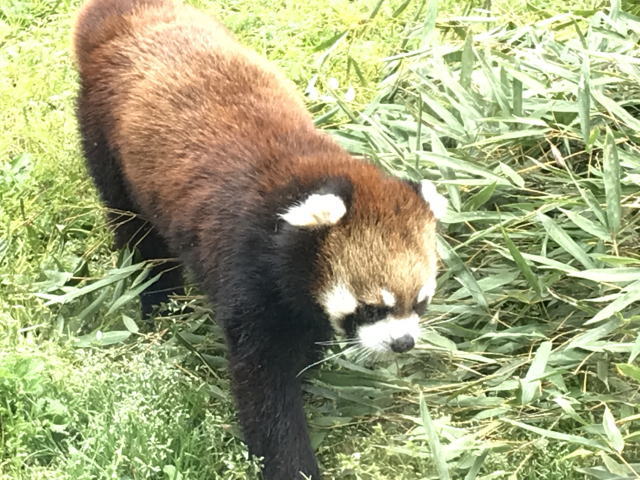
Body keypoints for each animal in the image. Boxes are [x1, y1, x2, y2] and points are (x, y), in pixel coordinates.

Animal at [72, 1, 448, 478]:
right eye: (371, 308)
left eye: (420, 302)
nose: (403, 343)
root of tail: (128, 17)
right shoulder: (246, 266)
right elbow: (264, 386)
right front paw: (292, 463)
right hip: (103, 138)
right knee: (135, 229)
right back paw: (157, 295)